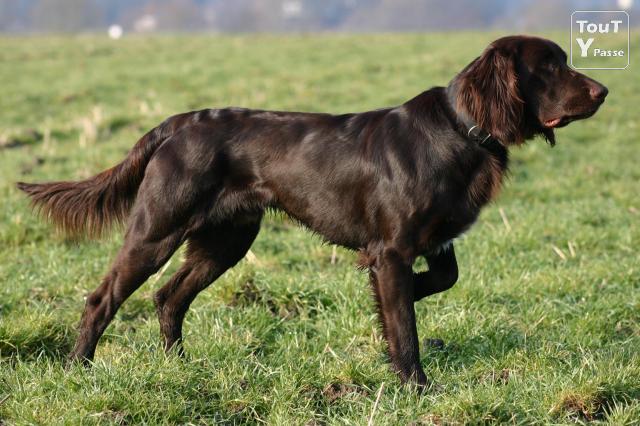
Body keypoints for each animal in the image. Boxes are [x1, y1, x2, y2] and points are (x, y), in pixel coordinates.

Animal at [18, 36, 604, 388]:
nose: (603, 90)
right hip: (157, 228)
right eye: (550, 65)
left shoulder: (434, 244)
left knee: (169, 296)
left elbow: (437, 283)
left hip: (227, 240)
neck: (461, 129)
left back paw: (178, 365)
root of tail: (178, 123)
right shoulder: (392, 249)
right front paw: (414, 385)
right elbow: (405, 324)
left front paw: (383, 315)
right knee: (103, 298)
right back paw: (77, 368)